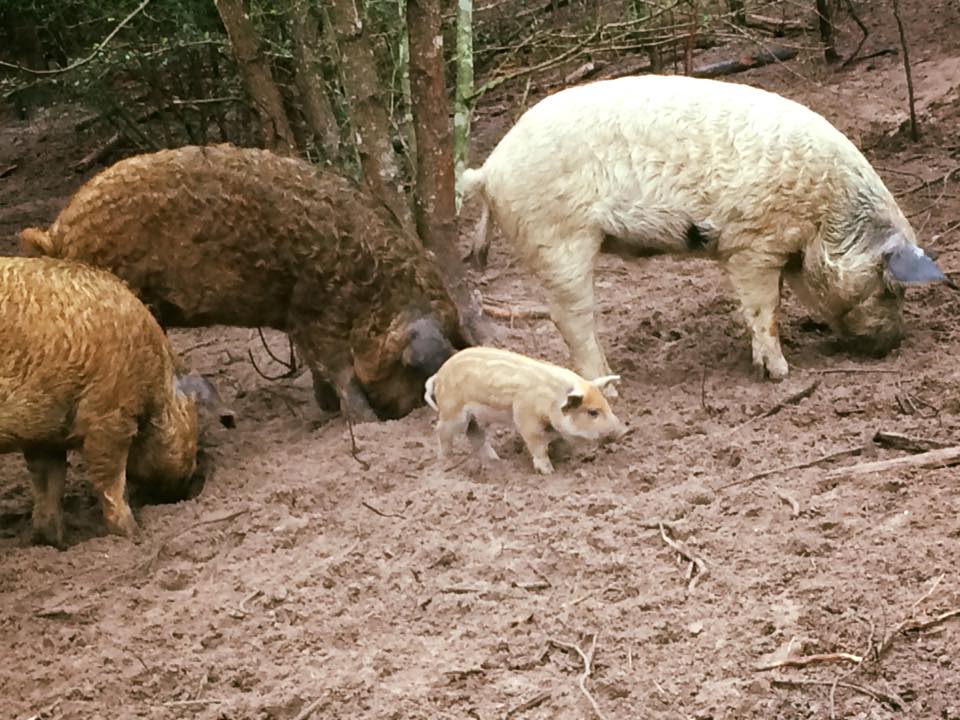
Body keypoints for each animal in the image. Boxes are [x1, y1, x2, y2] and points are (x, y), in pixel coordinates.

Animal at [460, 75, 952, 386]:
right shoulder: (753, 244)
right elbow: (765, 308)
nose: (895, 343)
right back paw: (611, 387)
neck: (825, 219)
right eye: (892, 288)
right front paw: (780, 374)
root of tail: (490, 169)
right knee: (571, 319)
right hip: (559, 239)